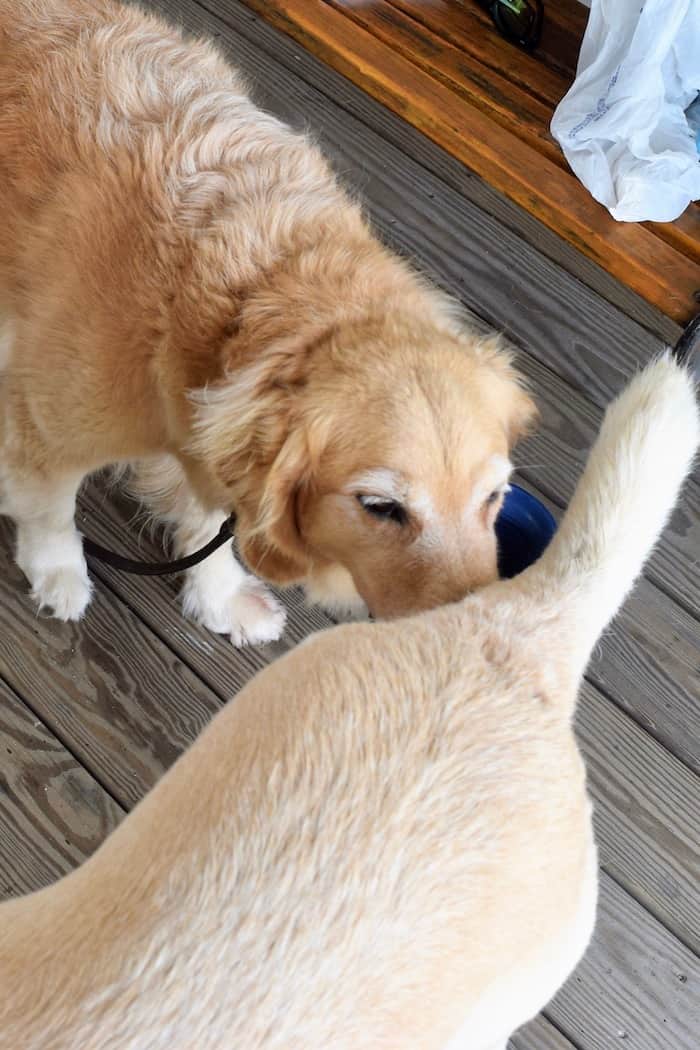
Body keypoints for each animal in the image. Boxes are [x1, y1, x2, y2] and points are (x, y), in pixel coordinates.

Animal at [0, 0, 537, 642]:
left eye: (494, 497)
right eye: (381, 507)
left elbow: (208, 523)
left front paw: (220, 596)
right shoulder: (45, 427)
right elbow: (50, 512)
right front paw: (59, 573)